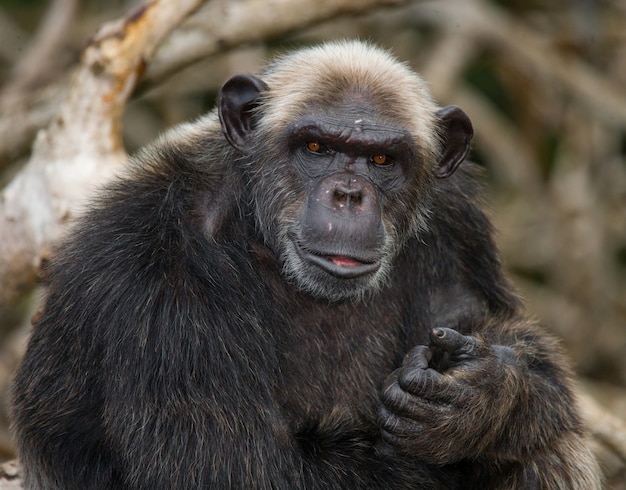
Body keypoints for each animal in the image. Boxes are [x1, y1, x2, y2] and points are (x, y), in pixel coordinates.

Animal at [9, 40, 596, 488]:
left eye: (382, 159)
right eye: (316, 147)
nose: (348, 194)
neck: (255, 228)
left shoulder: (456, 221)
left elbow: (501, 330)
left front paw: (489, 396)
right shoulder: (155, 277)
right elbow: (239, 470)